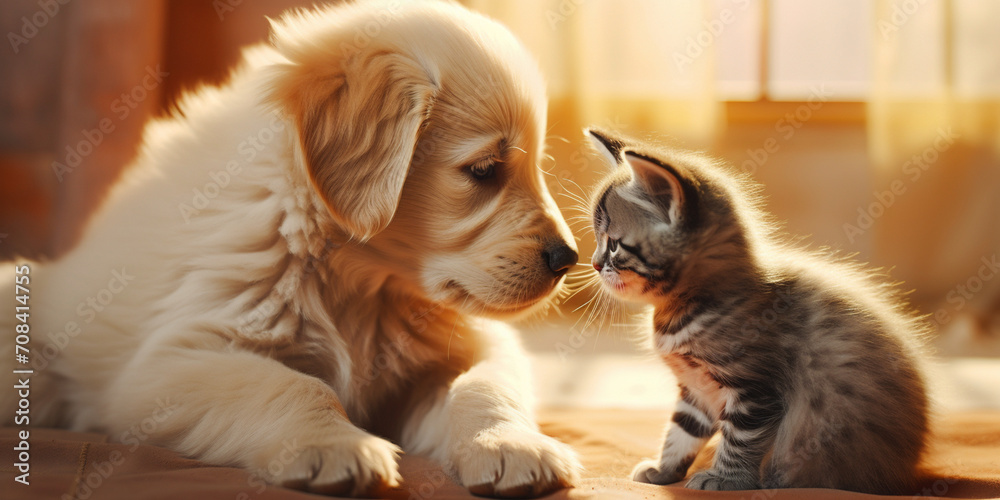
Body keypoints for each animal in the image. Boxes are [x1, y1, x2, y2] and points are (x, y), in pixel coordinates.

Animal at [0, 0, 584, 496]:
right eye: (483, 170)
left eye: (536, 167)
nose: (568, 260)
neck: (364, 283)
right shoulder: (172, 362)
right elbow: (293, 386)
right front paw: (336, 446)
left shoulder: (475, 344)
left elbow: (484, 386)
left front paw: (511, 445)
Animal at [584, 129, 928, 492]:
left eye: (613, 244)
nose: (594, 264)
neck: (686, 308)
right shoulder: (697, 391)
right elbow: (681, 431)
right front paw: (664, 471)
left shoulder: (755, 390)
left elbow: (739, 440)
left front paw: (725, 479)